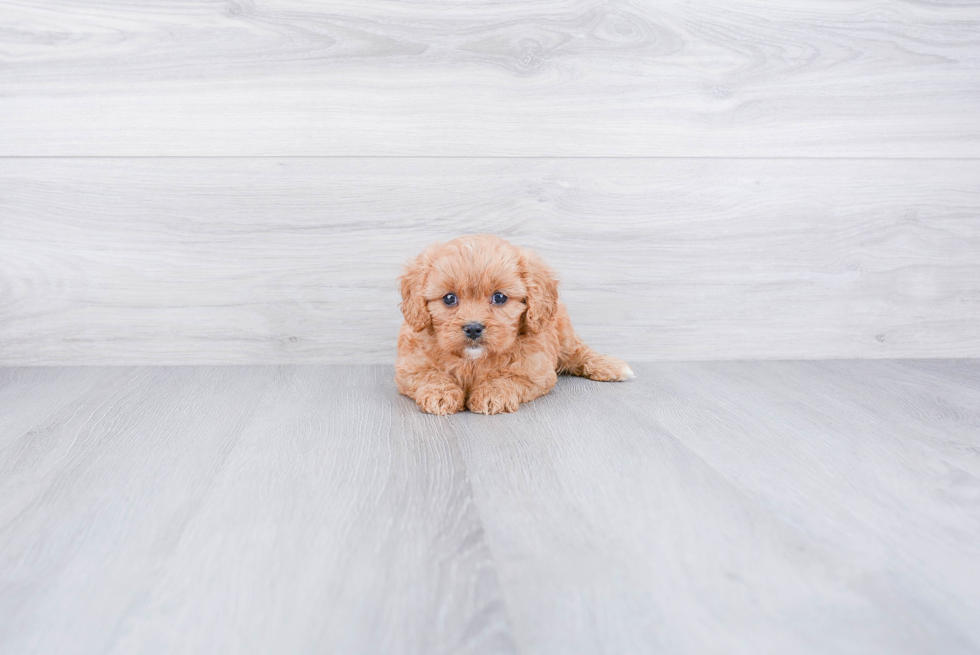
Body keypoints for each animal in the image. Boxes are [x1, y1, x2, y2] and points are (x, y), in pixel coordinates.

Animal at [398, 234, 636, 416]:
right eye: (449, 298)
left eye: (500, 297)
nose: (473, 328)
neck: (474, 360)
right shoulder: (410, 367)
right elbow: (431, 374)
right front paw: (439, 394)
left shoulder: (536, 370)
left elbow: (510, 377)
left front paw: (492, 394)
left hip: (564, 334)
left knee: (579, 352)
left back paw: (609, 366)